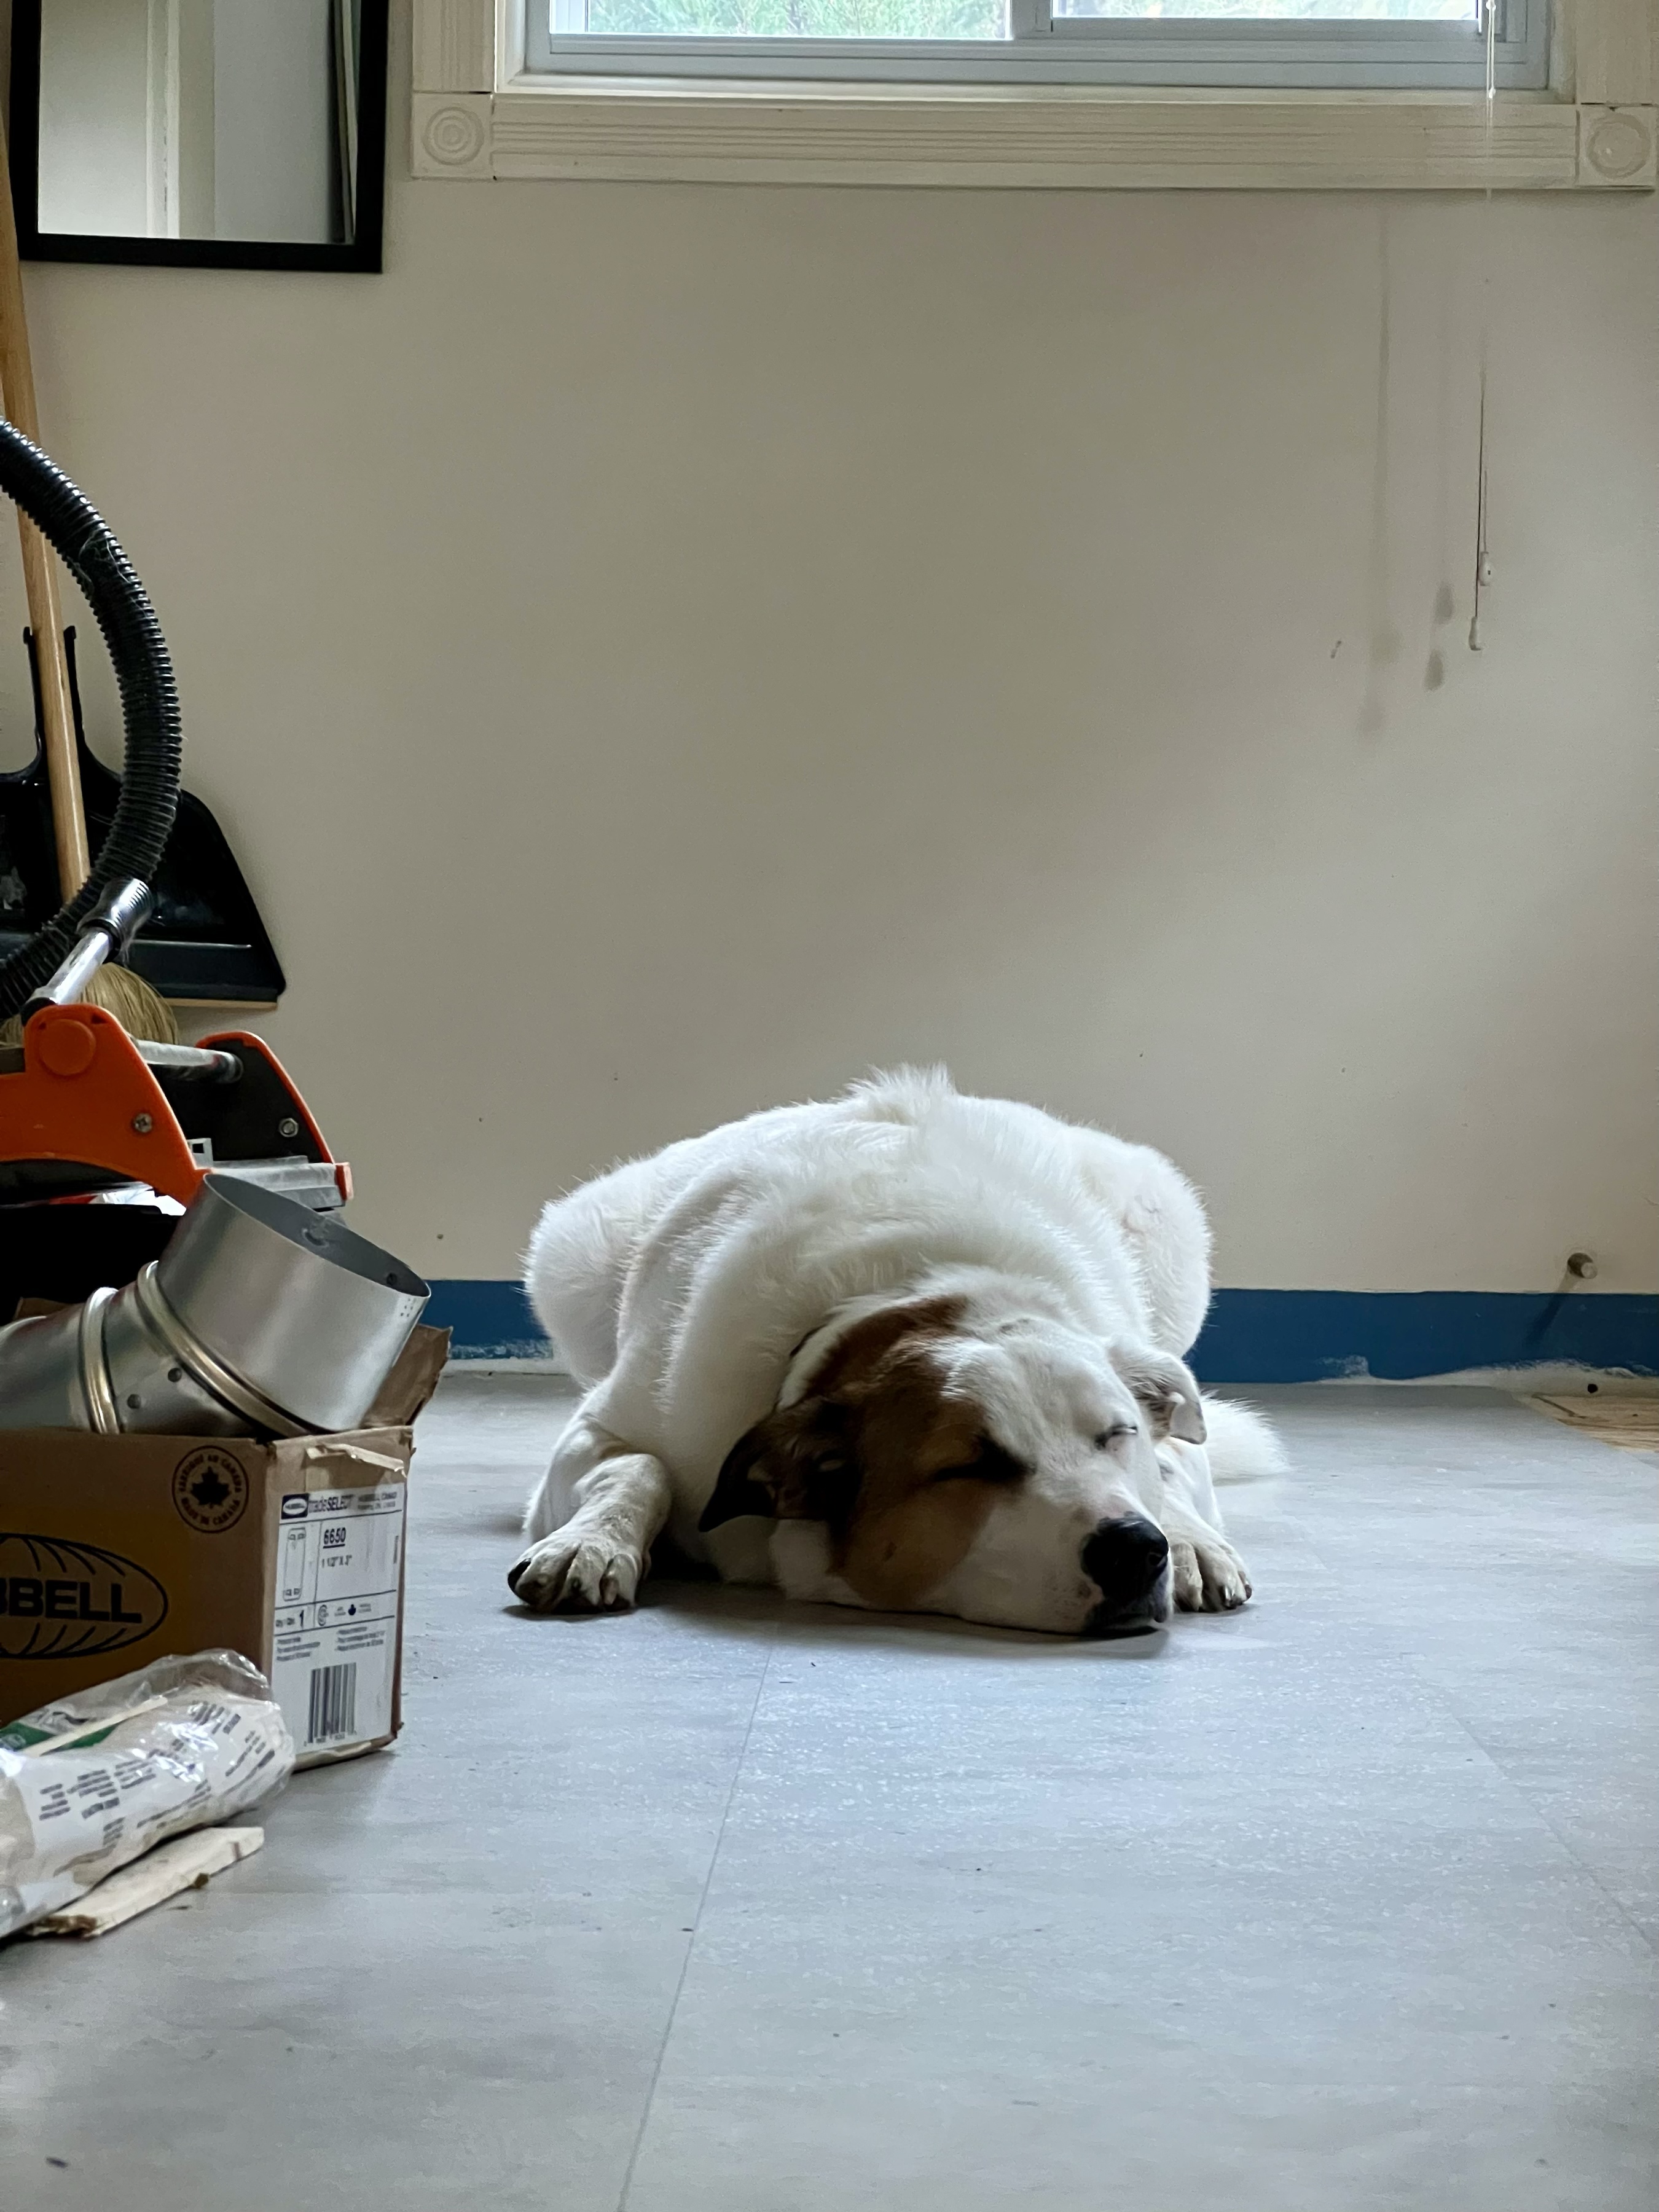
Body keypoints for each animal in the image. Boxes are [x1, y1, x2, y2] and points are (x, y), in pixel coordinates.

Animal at [511, 1070, 1283, 1645]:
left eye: (1116, 1434)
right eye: (972, 1466)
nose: (1134, 1550)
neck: (921, 1287)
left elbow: (1172, 1467)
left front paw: (1190, 1540)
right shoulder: (611, 1427)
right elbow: (638, 1464)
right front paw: (592, 1540)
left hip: (1166, 1219)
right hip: (572, 1253)